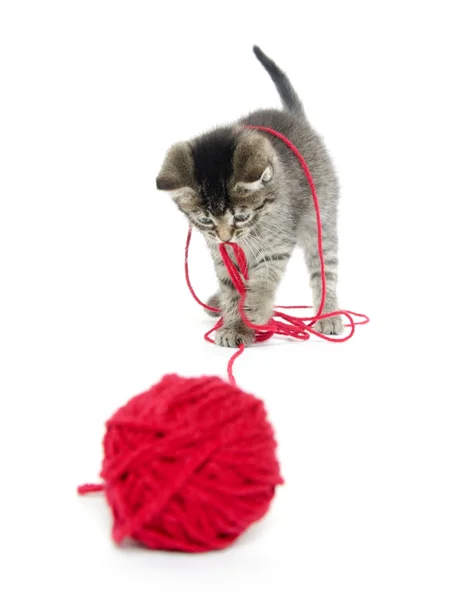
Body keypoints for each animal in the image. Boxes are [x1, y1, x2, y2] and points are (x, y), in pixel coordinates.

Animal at [156, 45, 344, 346]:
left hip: (321, 218)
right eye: (205, 220)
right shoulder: (220, 252)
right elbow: (230, 286)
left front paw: (255, 308)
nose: (225, 237)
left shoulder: (278, 241)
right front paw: (234, 324)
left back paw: (328, 315)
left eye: (241, 216)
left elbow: (266, 276)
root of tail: (295, 117)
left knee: (324, 269)